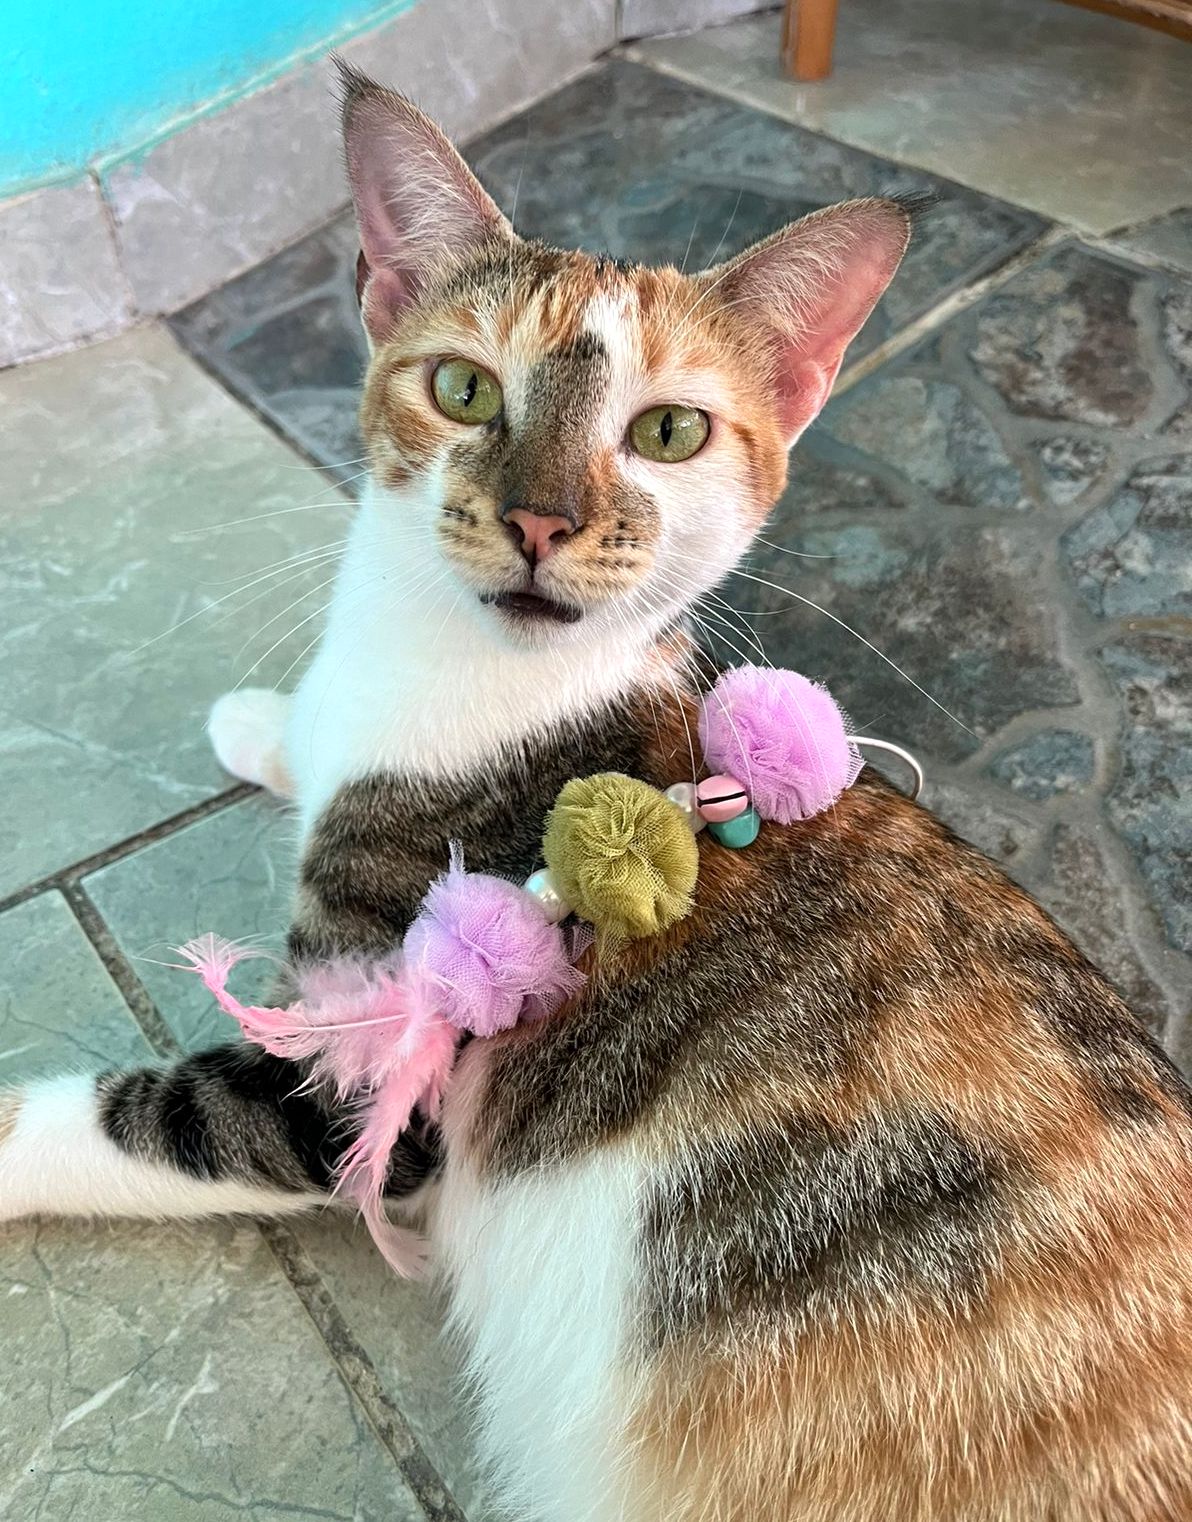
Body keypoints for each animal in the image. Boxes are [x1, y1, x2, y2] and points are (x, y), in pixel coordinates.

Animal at [2, 62, 1192, 1522]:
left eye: (668, 430)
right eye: (463, 387)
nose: (540, 519)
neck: (455, 668)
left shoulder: (370, 1069)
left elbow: (165, 1113)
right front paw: (261, 719)